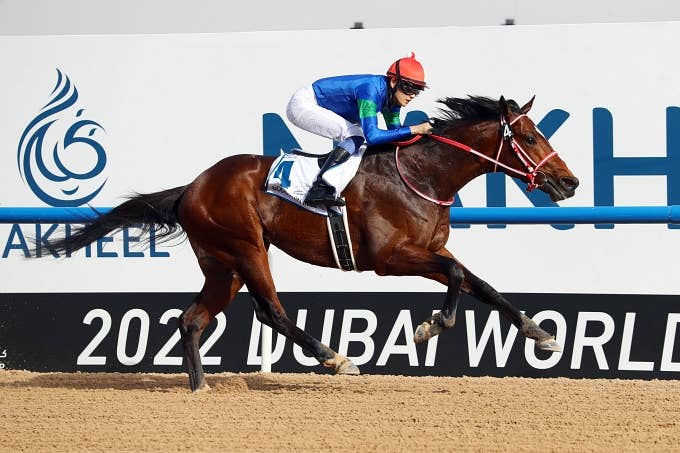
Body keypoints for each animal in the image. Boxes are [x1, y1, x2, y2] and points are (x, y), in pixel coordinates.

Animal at [42, 95, 579, 392]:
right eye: (531, 136)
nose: (569, 182)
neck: (421, 173)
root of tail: (191, 186)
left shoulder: (433, 249)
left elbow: (478, 283)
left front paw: (541, 334)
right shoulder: (388, 258)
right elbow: (453, 278)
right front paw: (431, 326)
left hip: (222, 264)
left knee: (192, 319)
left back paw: (200, 390)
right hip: (246, 248)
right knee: (272, 311)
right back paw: (336, 358)